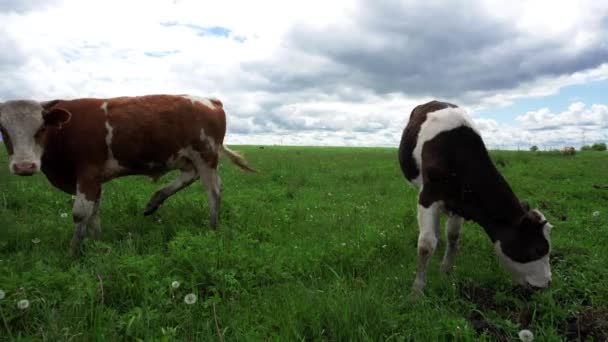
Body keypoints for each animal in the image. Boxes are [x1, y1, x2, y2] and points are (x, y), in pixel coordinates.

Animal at [0, 95, 255, 252]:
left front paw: (73, 251)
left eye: (42, 128)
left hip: (206, 155)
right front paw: (97, 241)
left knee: (213, 191)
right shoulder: (95, 180)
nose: (24, 166)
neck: (65, 131)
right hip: (186, 157)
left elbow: (80, 213)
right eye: (3, 130)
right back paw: (154, 201)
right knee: (190, 176)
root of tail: (210, 101)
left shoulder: (88, 174)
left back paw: (213, 226)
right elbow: (94, 211)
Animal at [396, 100, 552, 292]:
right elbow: (425, 245)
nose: (547, 283)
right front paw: (417, 290)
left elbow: (453, 236)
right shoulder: (428, 196)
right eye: (537, 249)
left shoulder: (460, 201)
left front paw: (446, 270)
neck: (456, 152)